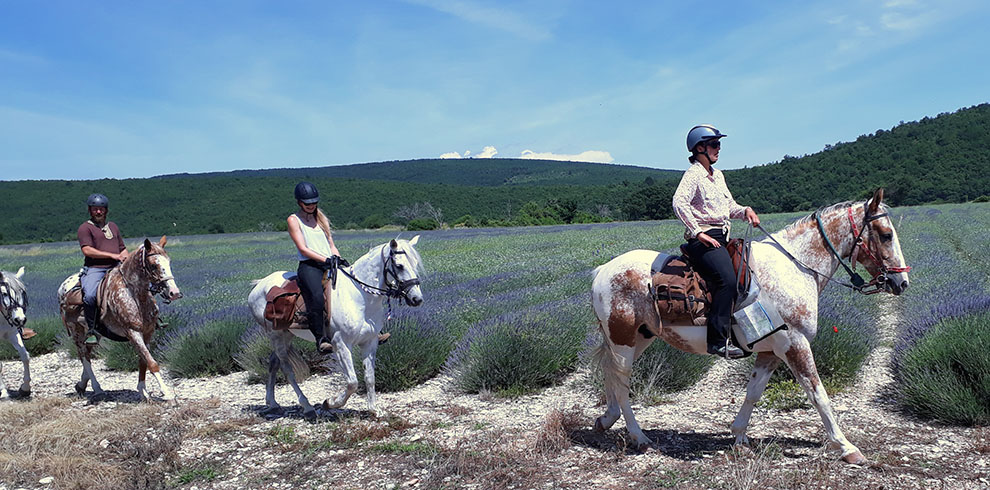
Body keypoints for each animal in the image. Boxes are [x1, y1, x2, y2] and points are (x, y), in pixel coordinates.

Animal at [58, 237, 183, 402]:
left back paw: (82, 385)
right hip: (76, 330)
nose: (174, 293)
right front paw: (167, 392)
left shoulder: (147, 332)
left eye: (168, 262)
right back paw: (97, 389)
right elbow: (152, 362)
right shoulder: (133, 332)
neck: (135, 295)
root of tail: (63, 287)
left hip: (93, 333)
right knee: (83, 356)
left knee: (87, 353)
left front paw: (143, 391)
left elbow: (143, 361)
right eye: (154, 265)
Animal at [250, 236, 424, 418]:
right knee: (287, 370)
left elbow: (369, 377)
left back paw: (273, 403)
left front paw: (374, 409)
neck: (360, 297)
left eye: (416, 264)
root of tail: (260, 285)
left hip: (286, 334)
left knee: (273, 363)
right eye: (400, 266)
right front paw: (330, 403)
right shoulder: (341, 344)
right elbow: (353, 382)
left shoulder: (370, 342)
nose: (417, 299)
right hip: (275, 335)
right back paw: (307, 407)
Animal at [592, 189, 912, 464]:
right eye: (886, 235)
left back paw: (606, 419)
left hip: (638, 338)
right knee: (622, 385)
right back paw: (639, 437)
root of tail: (602, 270)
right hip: (622, 339)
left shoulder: (771, 350)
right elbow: (817, 394)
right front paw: (846, 446)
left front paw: (739, 436)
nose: (901, 282)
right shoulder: (796, 344)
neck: (795, 267)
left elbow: (754, 392)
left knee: (610, 374)